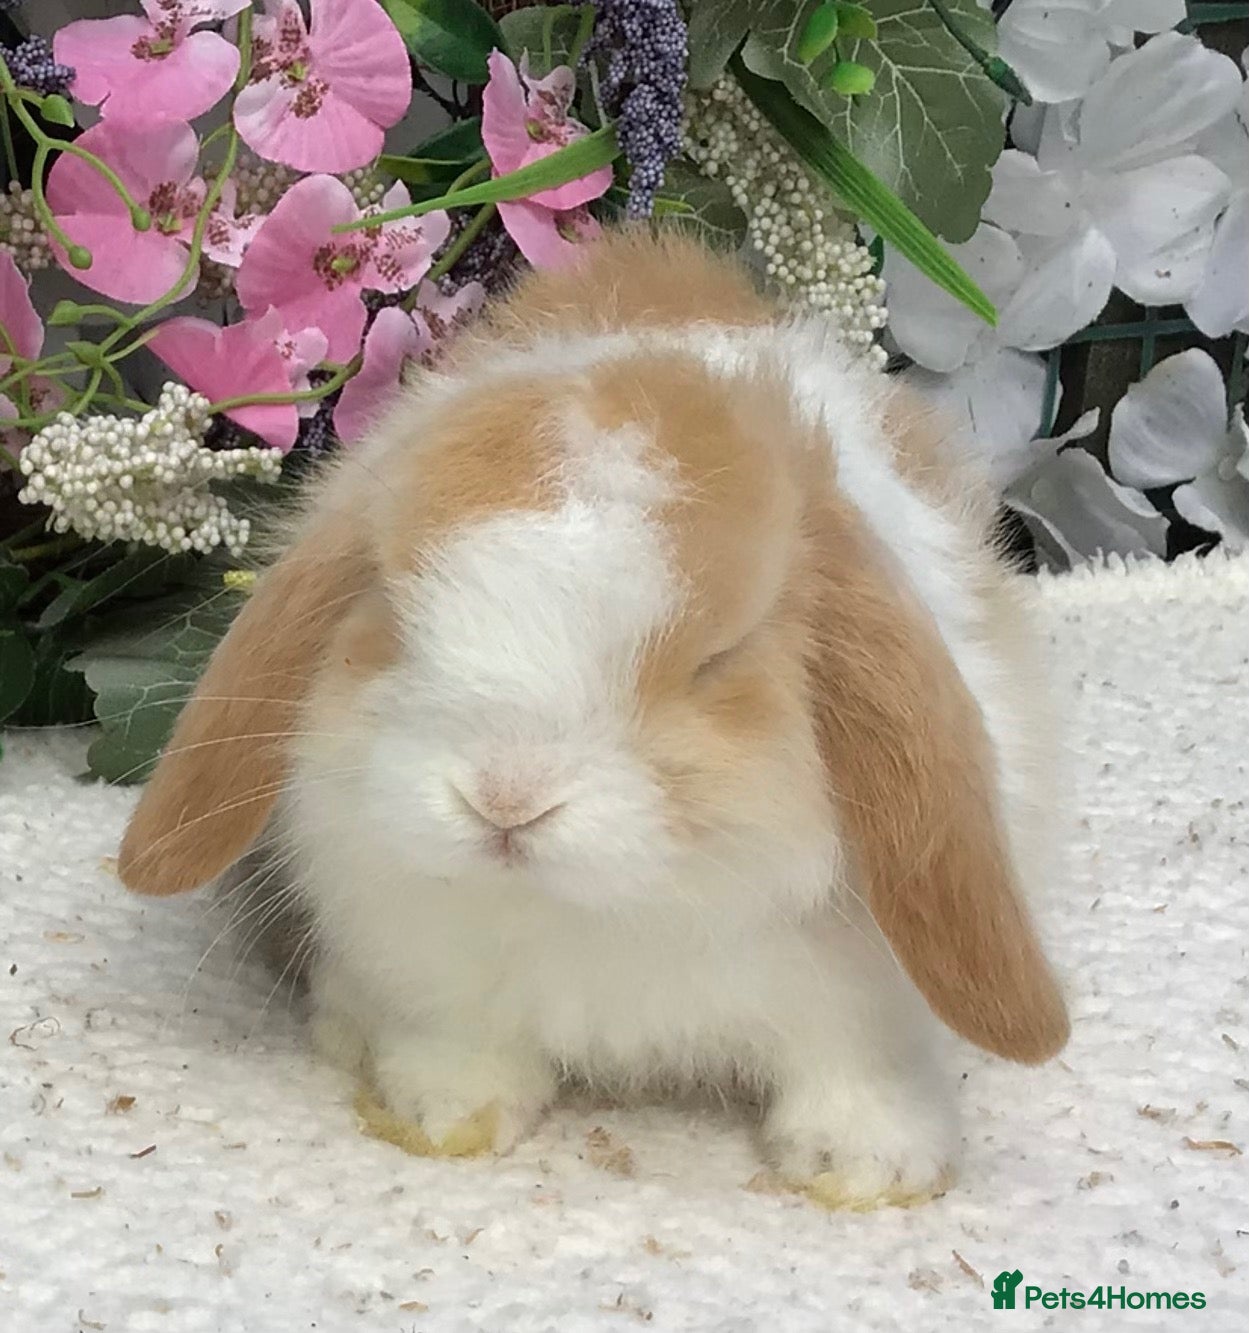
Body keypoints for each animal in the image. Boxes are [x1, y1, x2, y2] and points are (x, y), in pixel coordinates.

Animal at [117, 232, 1069, 1209]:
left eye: (717, 659)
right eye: (394, 608)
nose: (504, 797)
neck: (606, 909)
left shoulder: (858, 1003)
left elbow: (852, 1067)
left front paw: (869, 1166)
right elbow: (462, 1039)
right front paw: (445, 1110)